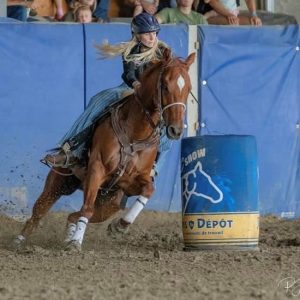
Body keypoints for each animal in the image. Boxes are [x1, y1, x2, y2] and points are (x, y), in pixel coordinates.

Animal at [14, 48, 196, 251]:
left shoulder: (130, 183)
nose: (176, 130)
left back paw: (68, 238)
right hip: (58, 183)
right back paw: (19, 242)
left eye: (188, 89)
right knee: (38, 213)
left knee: (73, 215)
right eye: (164, 86)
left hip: (109, 204)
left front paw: (119, 227)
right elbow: (86, 208)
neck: (135, 133)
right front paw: (76, 242)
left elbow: (148, 190)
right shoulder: (96, 169)